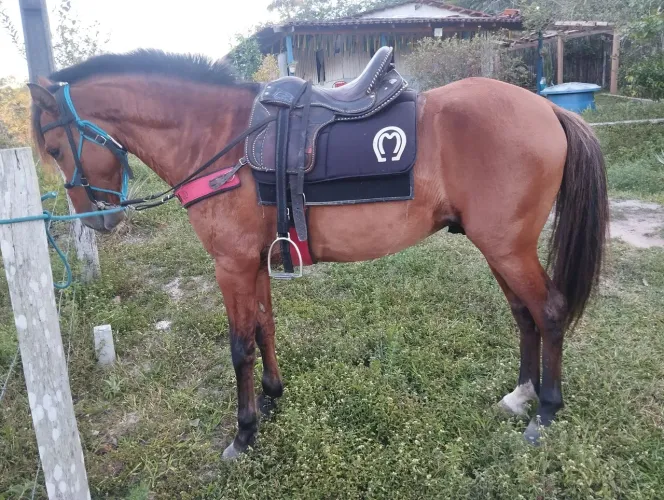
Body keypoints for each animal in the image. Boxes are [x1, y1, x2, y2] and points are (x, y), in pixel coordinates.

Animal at [28, 50, 608, 460]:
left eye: (55, 148)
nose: (98, 220)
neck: (217, 137)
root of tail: (547, 108)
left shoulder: (231, 265)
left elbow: (240, 345)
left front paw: (244, 434)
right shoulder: (255, 261)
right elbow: (265, 327)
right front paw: (272, 396)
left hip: (507, 248)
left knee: (548, 312)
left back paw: (545, 412)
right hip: (500, 247)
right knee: (524, 314)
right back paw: (521, 395)